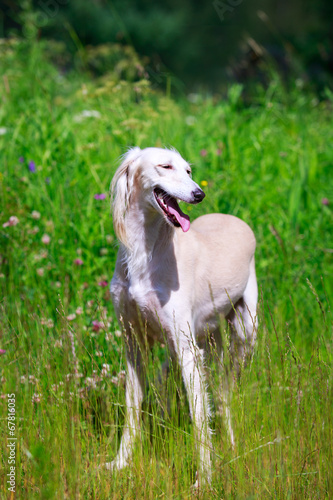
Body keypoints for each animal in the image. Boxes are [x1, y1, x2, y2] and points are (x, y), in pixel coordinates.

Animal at [106, 146, 256, 482]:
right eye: (165, 166)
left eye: (188, 171)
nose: (199, 194)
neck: (146, 253)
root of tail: (233, 218)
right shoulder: (134, 343)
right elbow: (132, 407)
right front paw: (120, 462)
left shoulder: (190, 353)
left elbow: (199, 417)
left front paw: (205, 479)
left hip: (244, 335)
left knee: (224, 396)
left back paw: (231, 443)